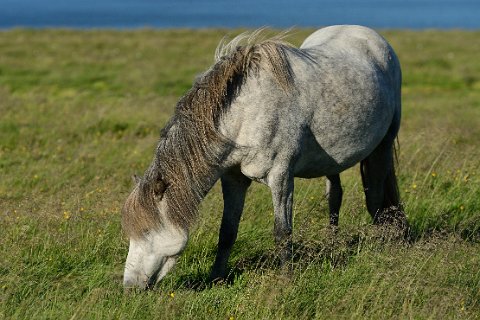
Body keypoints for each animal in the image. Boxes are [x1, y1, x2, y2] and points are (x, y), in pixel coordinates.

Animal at [122, 25, 406, 290]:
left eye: (146, 231)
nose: (128, 287)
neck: (244, 113)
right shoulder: (233, 179)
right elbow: (227, 231)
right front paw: (216, 278)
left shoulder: (281, 177)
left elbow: (282, 232)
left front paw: (286, 281)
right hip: (333, 160)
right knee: (335, 196)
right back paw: (333, 244)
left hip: (383, 146)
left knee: (376, 198)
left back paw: (384, 245)